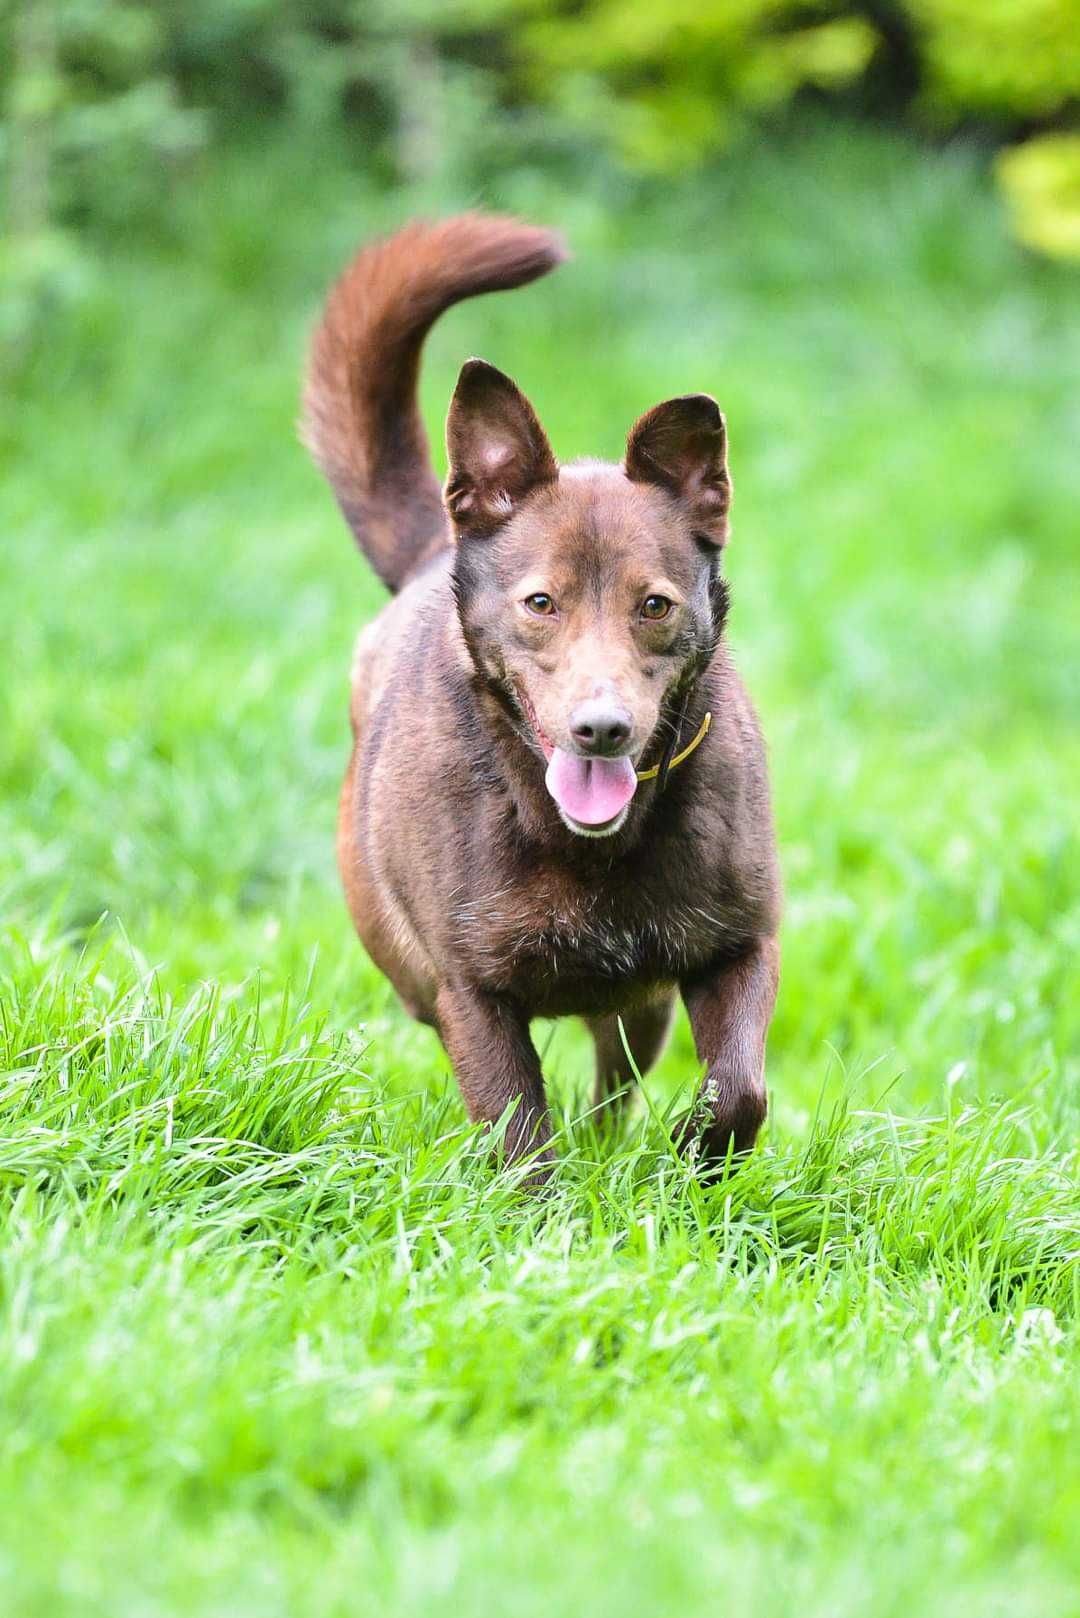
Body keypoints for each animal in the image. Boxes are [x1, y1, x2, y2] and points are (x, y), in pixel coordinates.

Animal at [302, 211, 777, 1177]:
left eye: (654, 605)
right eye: (541, 603)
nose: (602, 730)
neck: (586, 846)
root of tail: (431, 552)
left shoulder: (739, 945)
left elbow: (738, 1087)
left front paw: (694, 1158)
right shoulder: (470, 991)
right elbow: (519, 1134)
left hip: (641, 1002)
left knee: (615, 1075)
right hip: (408, 969)